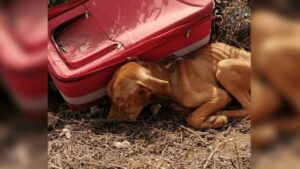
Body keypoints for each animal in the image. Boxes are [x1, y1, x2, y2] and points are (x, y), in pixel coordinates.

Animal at [106, 43, 251, 129]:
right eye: (109, 98)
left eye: (122, 103)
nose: (107, 120)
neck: (169, 76)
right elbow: (192, 113)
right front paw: (212, 118)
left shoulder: (220, 95)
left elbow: (192, 118)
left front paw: (216, 119)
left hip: (223, 66)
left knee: (248, 107)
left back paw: (225, 112)